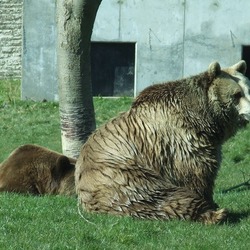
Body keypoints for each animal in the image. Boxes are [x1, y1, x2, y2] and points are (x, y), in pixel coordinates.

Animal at [75, 61, 250, 225]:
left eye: (248, 90)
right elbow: (196, 174)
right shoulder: (180, 142)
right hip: (124, 176)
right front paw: (210, 205)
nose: (249, 111)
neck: (204, 120)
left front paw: (213, 203)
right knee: (159, 197)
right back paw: (215, 214)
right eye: (237, 94)